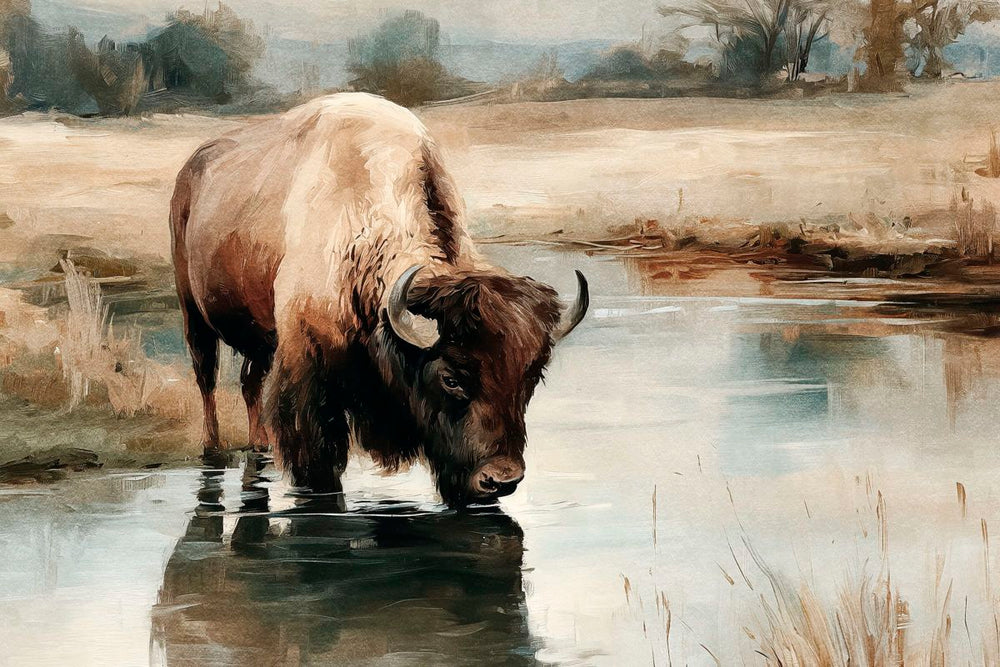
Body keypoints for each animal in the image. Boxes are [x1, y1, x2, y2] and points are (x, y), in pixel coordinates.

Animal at [170, 93, 587, 505]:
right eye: (451, 378)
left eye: (533, 375)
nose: (501, 479)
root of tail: (192, 167)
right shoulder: (307, 372)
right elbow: (317, 456)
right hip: (193, 312)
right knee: (206, 376)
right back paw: (212, 448)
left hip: (258, 336)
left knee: (248, 380)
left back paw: (259, 447)